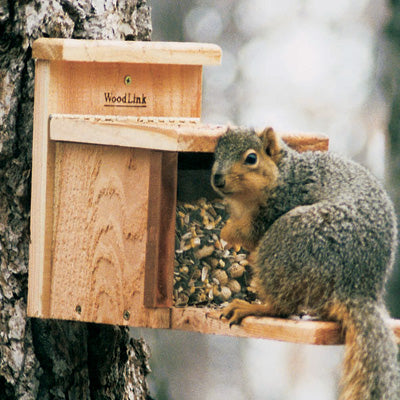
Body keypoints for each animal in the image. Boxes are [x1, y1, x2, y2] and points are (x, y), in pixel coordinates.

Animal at [211, 126, 398, 400]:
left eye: (251, 158)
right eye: (216, 154)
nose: (217, 179)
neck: (283, 173)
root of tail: (357, 286)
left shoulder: (279, 205)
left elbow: (248, 233)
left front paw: (226, 231)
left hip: (287, 239)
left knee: (282, 307)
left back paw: (252, 307)